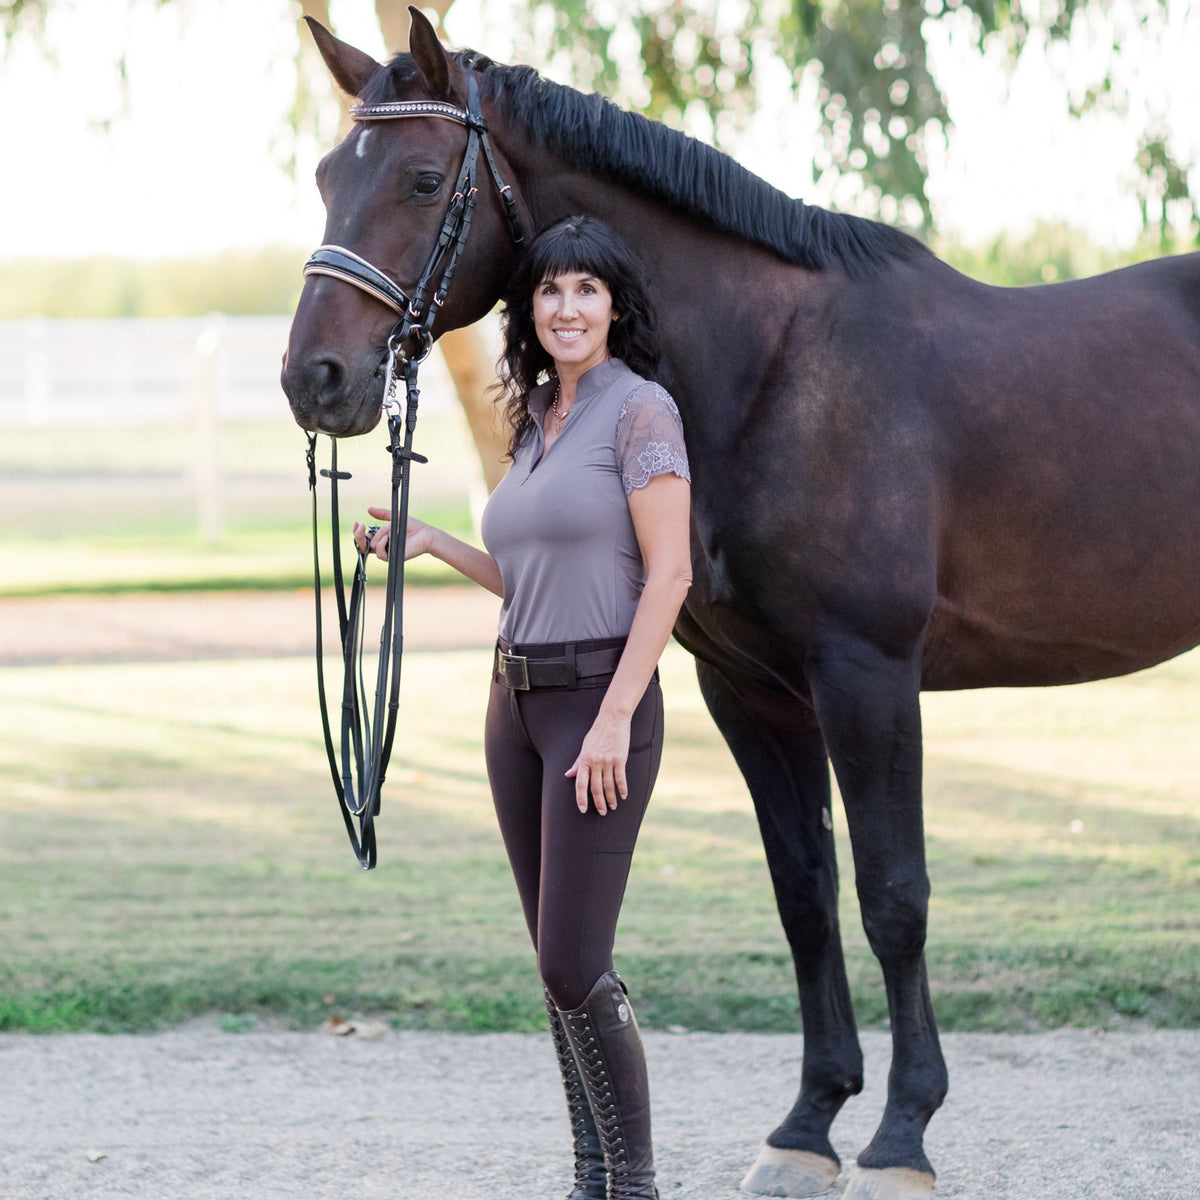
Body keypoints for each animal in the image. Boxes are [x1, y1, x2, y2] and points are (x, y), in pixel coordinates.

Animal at [283, 11, 1200, 1200]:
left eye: (425, 178)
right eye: (324, 177)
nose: (314, 378)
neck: (774, 373)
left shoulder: (866, 675)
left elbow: (892, 894)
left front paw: (901, 1135)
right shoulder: (749, 689)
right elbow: (804, 892)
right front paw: (809, 1126)